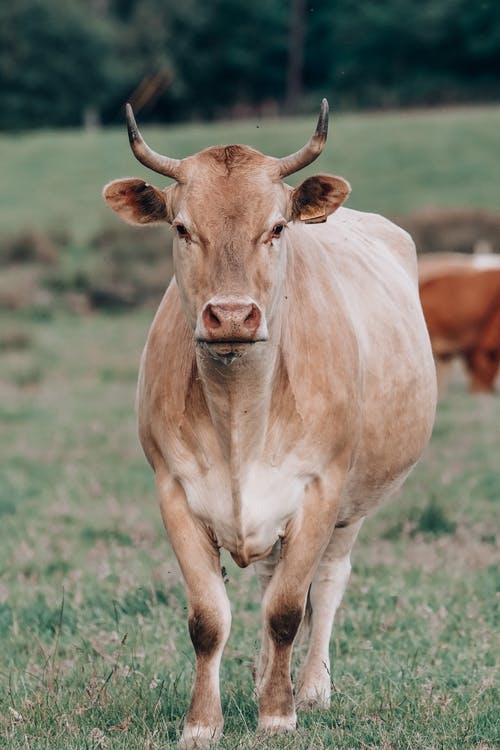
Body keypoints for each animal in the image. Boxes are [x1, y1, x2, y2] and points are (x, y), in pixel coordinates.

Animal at [102, 101, 438, 750]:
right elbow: (209, 619)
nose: (232, 315)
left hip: (353, 505)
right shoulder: (174, 492)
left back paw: (310, 688)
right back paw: (263, 676)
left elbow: (288, 610)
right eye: (181, 228)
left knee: (325, 585)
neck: (240, 413)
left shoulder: (321, 489)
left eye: (277, 227)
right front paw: (203, 722)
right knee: (267, 581)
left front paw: (280, 714)